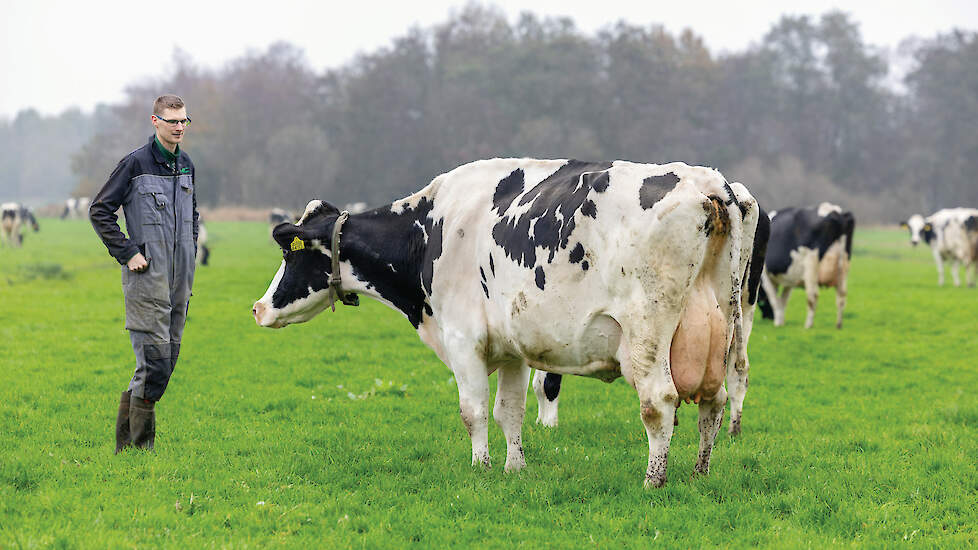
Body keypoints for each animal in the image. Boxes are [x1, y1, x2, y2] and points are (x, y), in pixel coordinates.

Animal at [250, 158, 764, 488]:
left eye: (290, 255)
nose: (257, 307)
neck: (432, 229)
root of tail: (710, 182)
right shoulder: (514, 348)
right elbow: (509, 411)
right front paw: (514, 468)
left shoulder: (464, 341)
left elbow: (473, 410)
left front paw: (480, 468)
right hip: (724, 325)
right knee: (715, 401)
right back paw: (699, 473)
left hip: (647, 335)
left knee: (660, 403)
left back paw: (653, 481)